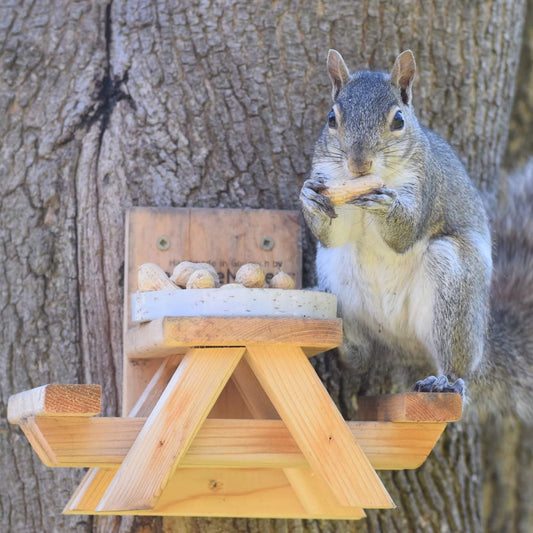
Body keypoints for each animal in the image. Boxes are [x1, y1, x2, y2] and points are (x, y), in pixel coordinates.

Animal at [300, 47, 532, 418]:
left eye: (398, 120)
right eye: (331, 118)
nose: (358, 164)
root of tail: (402, 346)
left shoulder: (426, 186)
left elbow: (406, 233)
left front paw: (387, 207)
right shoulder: (328, 177)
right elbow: (333, 234)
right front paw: (309, 196)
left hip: (454, 285)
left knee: (456, 366)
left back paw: (446, 382)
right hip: (334, 269)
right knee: (360, 358)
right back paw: (342, 329)